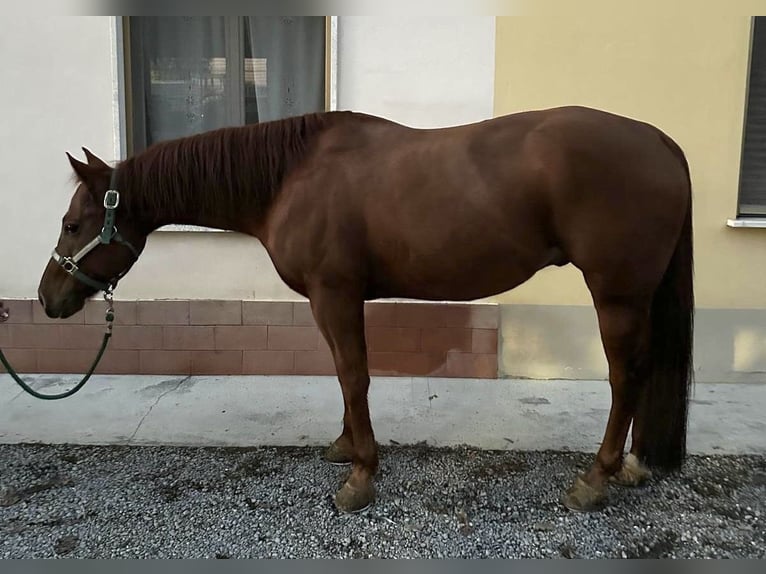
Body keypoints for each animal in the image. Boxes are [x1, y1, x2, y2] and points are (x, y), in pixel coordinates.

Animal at [37, 106, 694, 513]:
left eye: (72, 223)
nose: (48, 298)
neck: (290, 178)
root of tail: (661, 141)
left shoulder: (335, 293)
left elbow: (355, 375)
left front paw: (360, 477)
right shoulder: (331, 299)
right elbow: (342, 375)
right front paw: (346, 447)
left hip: (617, 296)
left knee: (625, 377)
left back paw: (596, 478)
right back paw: (632, 466)